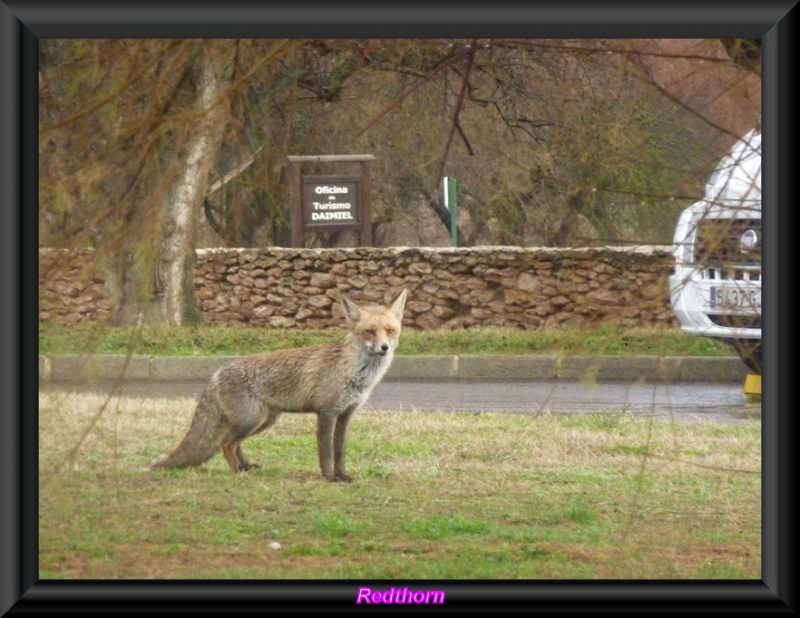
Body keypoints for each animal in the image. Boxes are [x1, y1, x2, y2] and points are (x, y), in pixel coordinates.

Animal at [141, 286, 410, 478]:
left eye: (390, 330)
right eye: (370, 331)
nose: (384, 348)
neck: (356, 374)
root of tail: (217, 371)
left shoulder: (345, 414)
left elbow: (340, 452)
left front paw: (343, 476)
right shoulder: (326, 412)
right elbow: (325, 452)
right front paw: (329, 477)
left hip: (264, 420)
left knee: (234, 443)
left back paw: (246, 466)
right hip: (252, 419)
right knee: (226, 442)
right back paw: (237, 471)